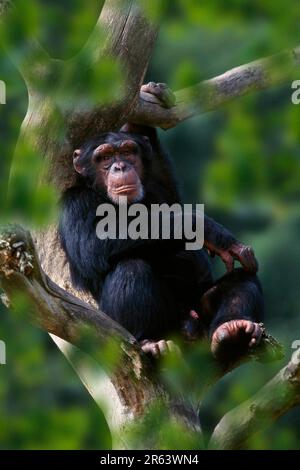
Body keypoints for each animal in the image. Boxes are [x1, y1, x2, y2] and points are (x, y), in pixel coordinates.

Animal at [58, 82, 262, 362]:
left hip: (198, 311)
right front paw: (209, 230)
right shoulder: (72, 203)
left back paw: (232, 330)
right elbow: (91, 245)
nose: (120, 166)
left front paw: (146, 105)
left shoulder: (154, 184)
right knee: (131, 269)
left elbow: (172, 202)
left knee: (243, 278)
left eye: (127, 151)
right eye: (105, 157)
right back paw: (150, 343)